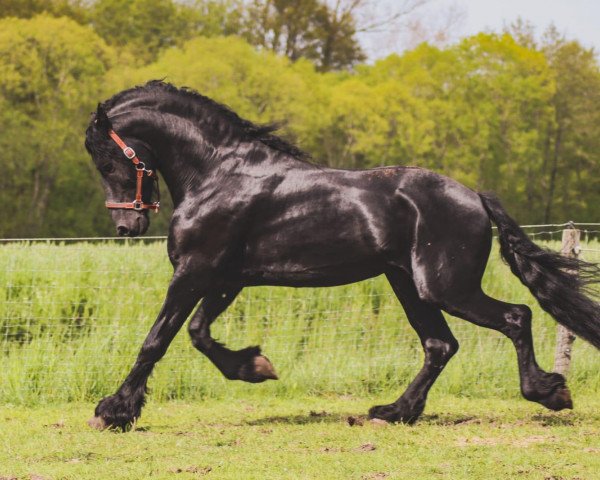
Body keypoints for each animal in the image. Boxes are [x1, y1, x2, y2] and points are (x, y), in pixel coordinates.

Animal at [85, 80, 600, 430]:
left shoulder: (195, 273)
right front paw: (255, 368)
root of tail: (474, 196)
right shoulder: (226, 278)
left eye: (106, 160)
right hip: (408, 284)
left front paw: (113, 412)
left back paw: (549, 392)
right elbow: (197, 334)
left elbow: (158, 339)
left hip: (445, 286)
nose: (127, 226)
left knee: (515, 317)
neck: (219, 174)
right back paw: (393, 412)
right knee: (440, 345)